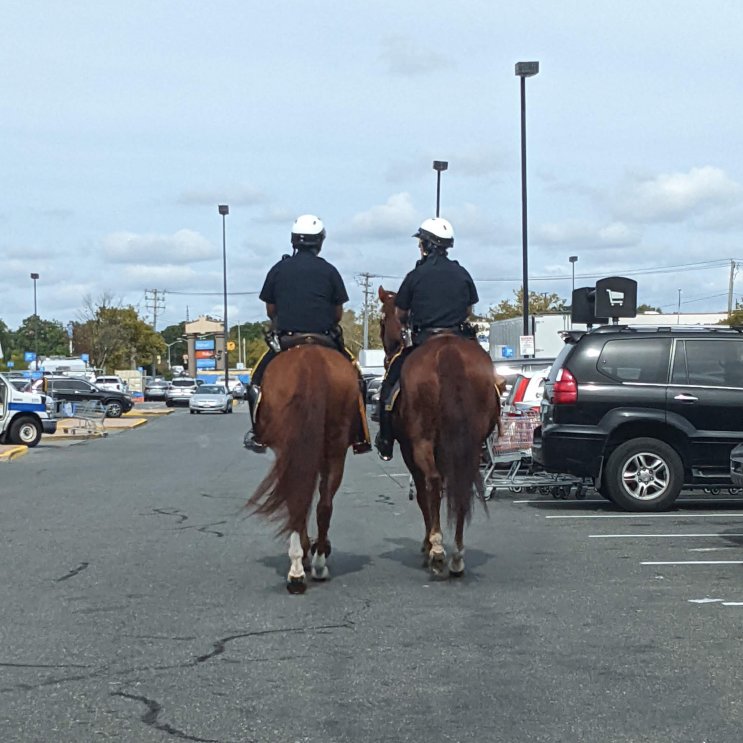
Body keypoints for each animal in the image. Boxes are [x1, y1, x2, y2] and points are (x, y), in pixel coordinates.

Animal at [247, 346, 364, 596]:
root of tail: (311, 361)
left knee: (301, 504)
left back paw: (302, 568)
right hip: (334, 449)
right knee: (323, 505)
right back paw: (311, 563)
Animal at [380, 288, 502, 580]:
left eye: (381, 321)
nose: (387, 357)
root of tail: (447, 351)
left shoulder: (409, 449)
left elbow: (424, 495)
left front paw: (428, 545)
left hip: (421, 442)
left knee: (433, 483)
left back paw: (436, 551)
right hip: (469, 444)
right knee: (462, 485)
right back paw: (457, 553)